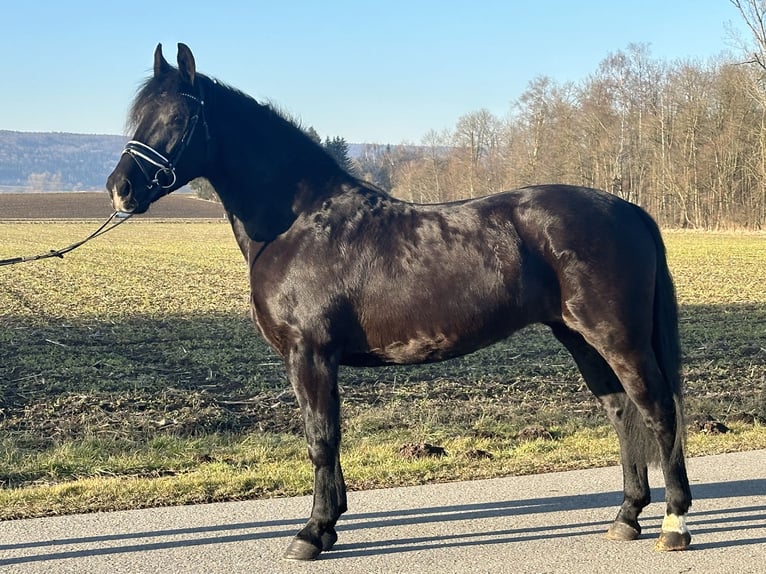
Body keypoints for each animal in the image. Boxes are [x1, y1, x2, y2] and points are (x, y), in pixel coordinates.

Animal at [106, 44, 696, 564]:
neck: (298, 222)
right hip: (579, 337)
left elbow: (320, 438)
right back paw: (626, 517)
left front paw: (311, 534)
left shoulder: (309, 355)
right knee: (621, 411)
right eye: (139, 116)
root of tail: (630, 210)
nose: (120, 188)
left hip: (616, 336)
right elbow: (327, 437)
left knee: (657, 409)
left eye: (178, 117)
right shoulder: (317, 360)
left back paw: (673, 523)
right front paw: (330, 523)